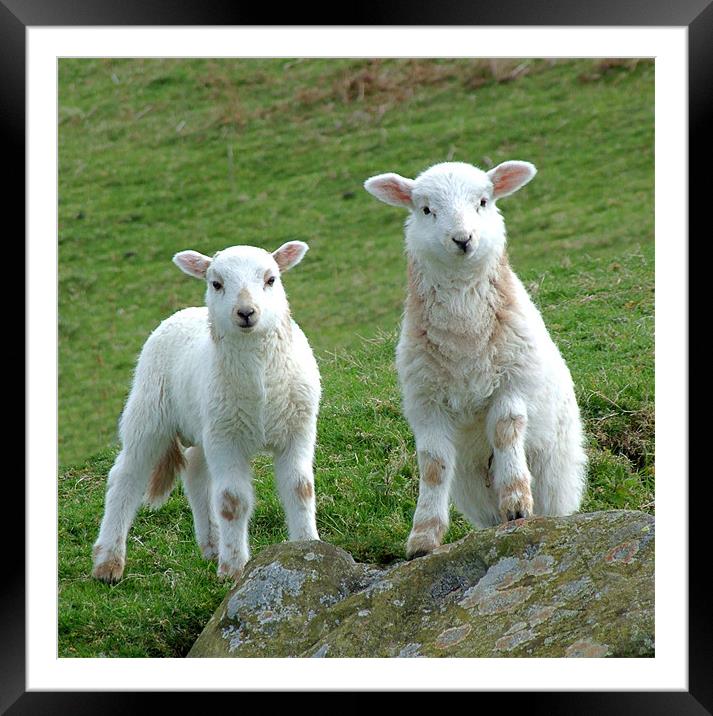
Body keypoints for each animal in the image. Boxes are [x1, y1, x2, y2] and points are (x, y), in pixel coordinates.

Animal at [92, 243, 320, 584]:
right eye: (216, 283)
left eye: (271, 279)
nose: (246, 312)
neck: (260, 384)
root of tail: (185, 312)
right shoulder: (227, 440)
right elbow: (232, 501)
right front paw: (233, 569)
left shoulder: (298, 430)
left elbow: (300, 489)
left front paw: (309, 547)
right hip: (150, 413)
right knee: (126, 476)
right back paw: (108, 562)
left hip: (206, 423)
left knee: (196, 472)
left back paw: (212, 544)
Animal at [364, 161, 588, 560]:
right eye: (426, 209)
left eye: (483, 202)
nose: (462, 239)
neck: (464, 340)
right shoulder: (426, 402)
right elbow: (433, 465)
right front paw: (423, 537)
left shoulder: (513, 381)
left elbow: (505, 430)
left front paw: (517, 503)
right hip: (471, 489)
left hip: (555, 471)